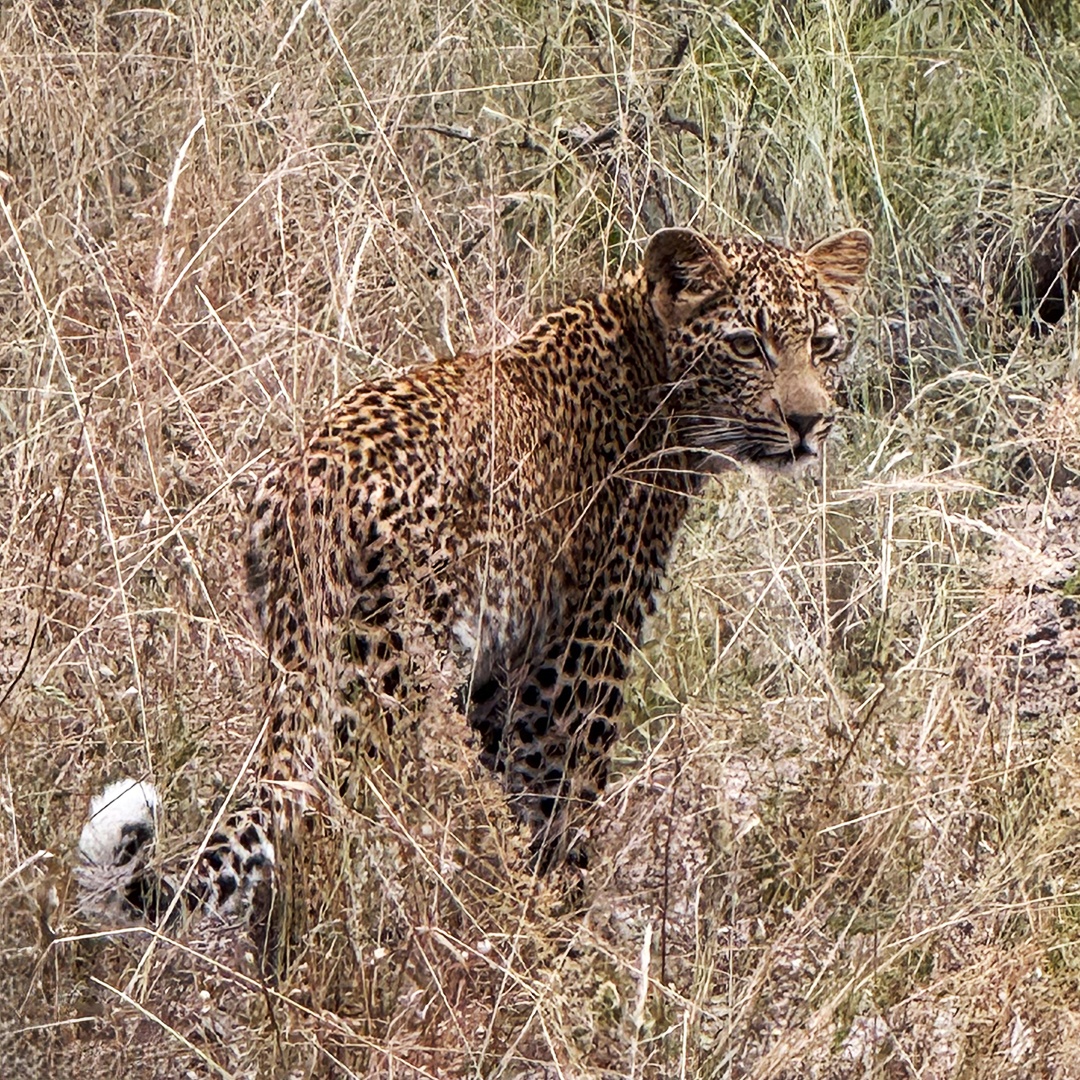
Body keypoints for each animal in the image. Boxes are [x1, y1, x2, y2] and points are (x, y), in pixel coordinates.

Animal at [77, 225, 871, 931]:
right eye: (746, 344)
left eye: (824, 344)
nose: (809, 422)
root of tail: (311, 488)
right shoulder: (579, 657)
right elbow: (562, 806)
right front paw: (568, 941)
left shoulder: (502, 673)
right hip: (384, 687)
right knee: (328, 823)